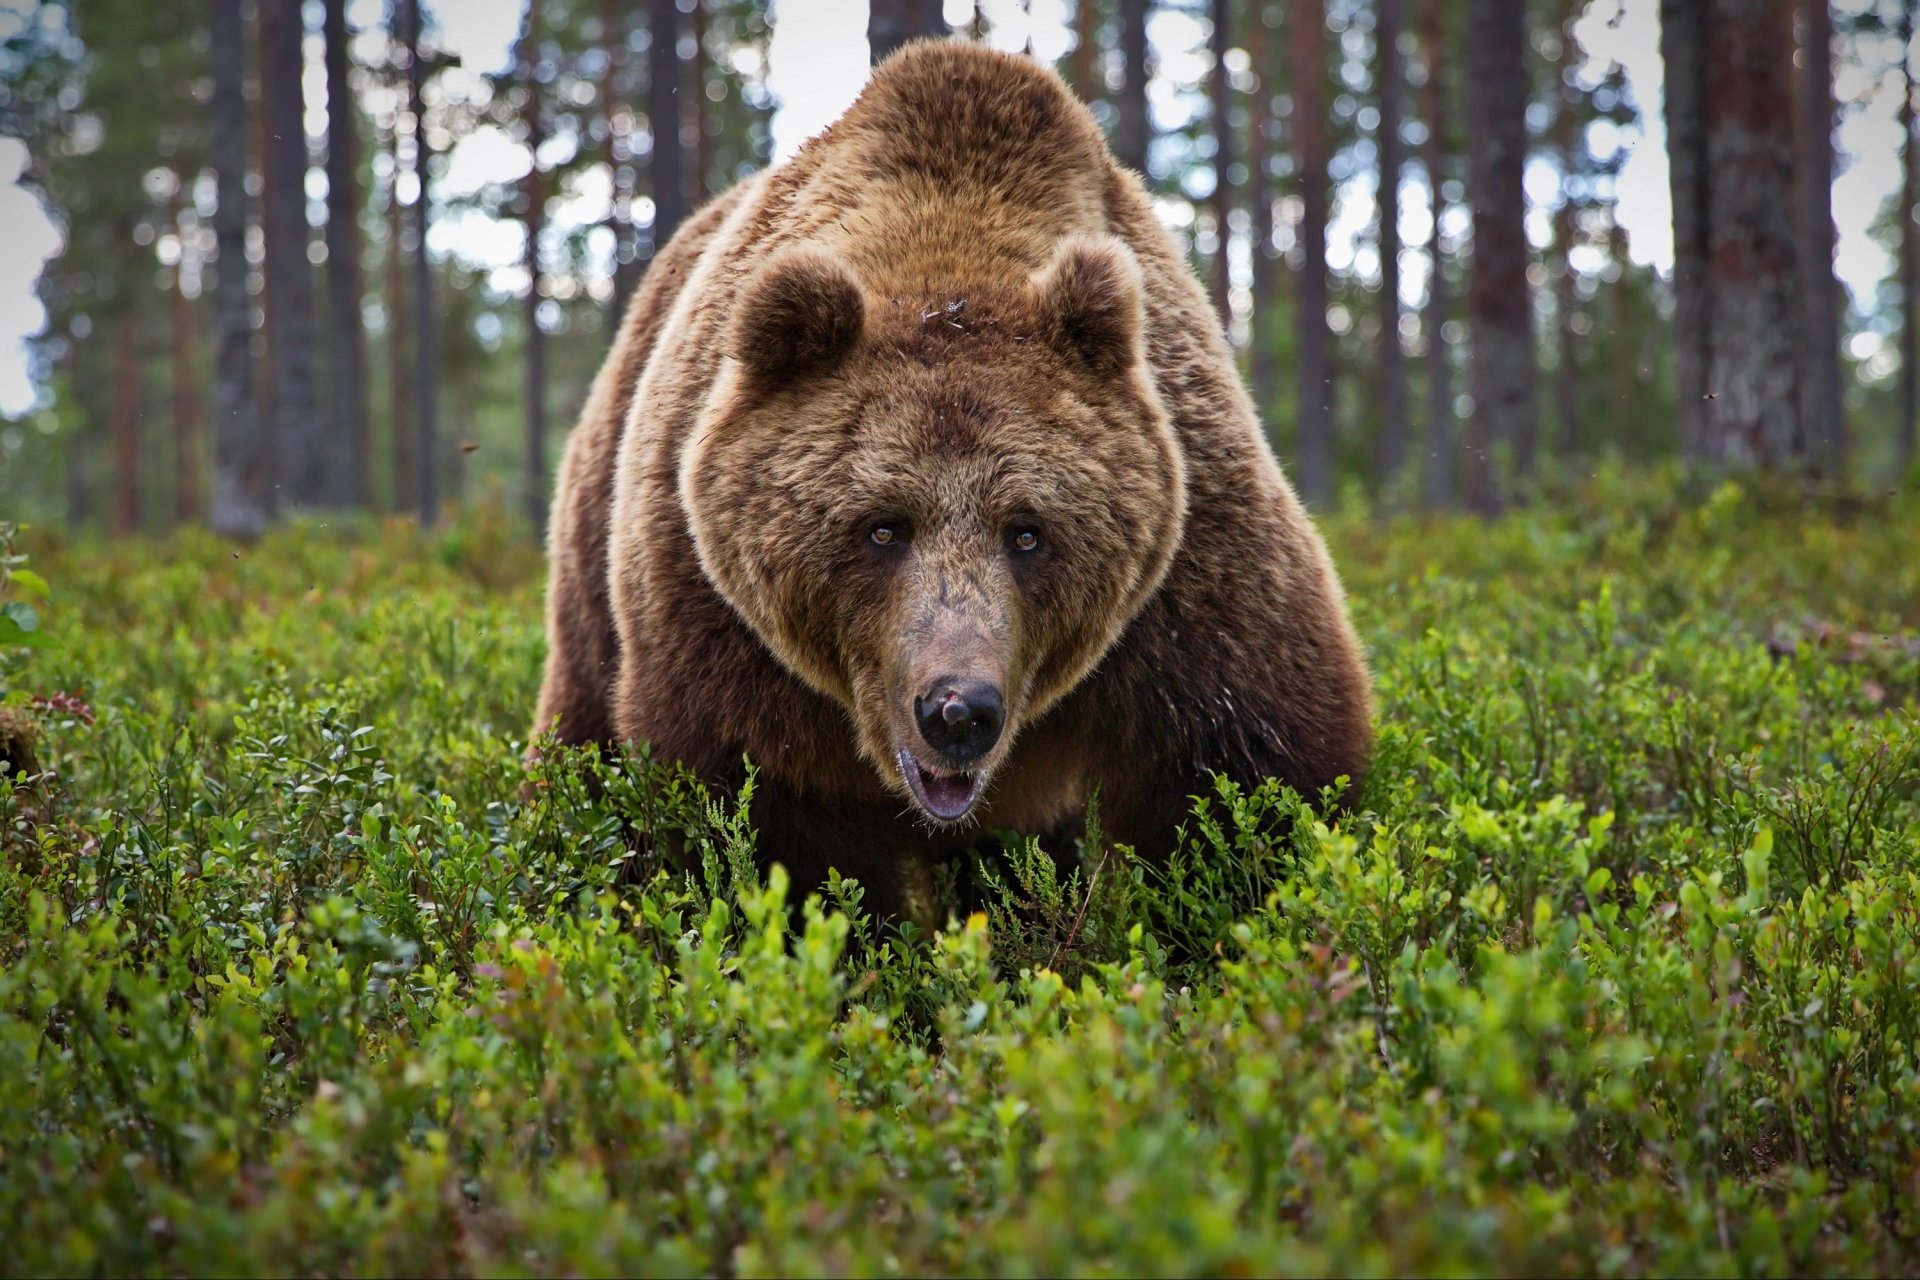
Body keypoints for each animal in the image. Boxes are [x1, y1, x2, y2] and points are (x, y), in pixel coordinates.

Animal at [533, 41, 1373, 923]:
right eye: (881, 525)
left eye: (1029, 530)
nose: (958, 709)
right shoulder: (716, 619)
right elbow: (770, 831)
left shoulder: (1188, 566)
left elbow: (1247, 768)